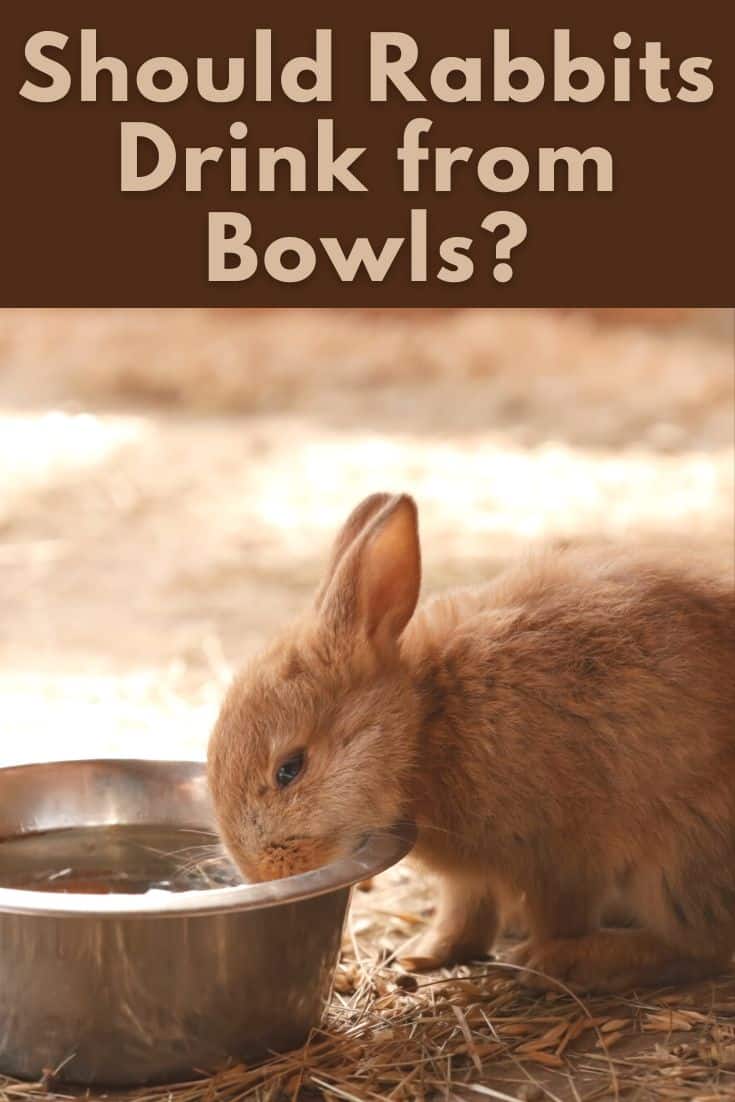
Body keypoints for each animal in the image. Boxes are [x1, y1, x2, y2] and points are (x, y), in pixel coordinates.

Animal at [207, 492, 735, 993]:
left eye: (290, 768)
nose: (265, 875)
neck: (425, 721)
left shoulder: (560, 855)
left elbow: (558, 916)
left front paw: (541, 960)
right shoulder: (471, 877)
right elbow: (464, 912)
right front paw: (422, 955)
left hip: (677, 856)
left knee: (700, 945)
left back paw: (579, 962)